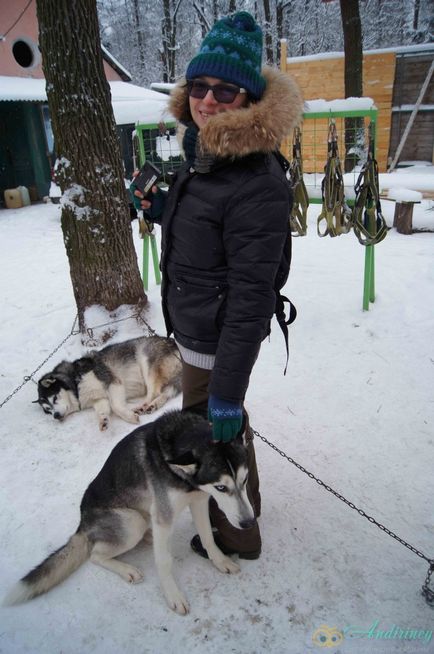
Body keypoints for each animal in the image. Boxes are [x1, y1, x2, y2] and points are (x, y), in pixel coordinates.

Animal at [5, 412, 256, 616]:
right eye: (221, 487)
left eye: (245, 481)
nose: (249, 522)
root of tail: (82, 524)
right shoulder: (164, 513)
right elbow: (163, 561)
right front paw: (173, 595)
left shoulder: (199, 501)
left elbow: (208, 537)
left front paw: (221, 561)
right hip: (131, 522)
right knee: (95, 555)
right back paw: (127, 569)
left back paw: (150, 538)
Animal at [34, 336, 181, 434]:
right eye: (48, 409)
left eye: (54, 399)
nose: (55, 416)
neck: (75, 382)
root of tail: (173, 343)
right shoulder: (99, 399)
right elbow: (102, 410)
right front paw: (103, 421)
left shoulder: (112, 381)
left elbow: (115, 406)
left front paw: (130, 417)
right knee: (165, 393)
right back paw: (153, 406)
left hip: (145, 360)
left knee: (154, 392)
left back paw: (144, 405)